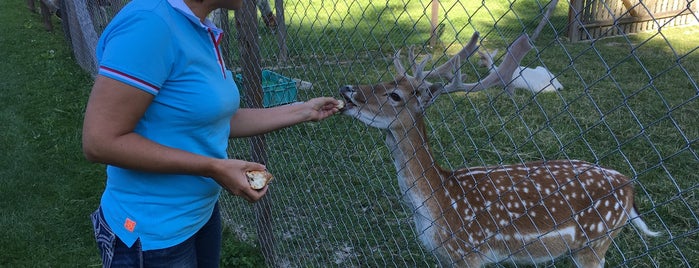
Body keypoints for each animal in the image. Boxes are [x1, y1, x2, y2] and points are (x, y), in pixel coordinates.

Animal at [336, 32, 660, 266]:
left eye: (395, 95)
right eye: (385, 79)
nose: (347, 89)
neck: (438, 203)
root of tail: (630, 188)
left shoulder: (469, 252)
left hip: (595, 243)